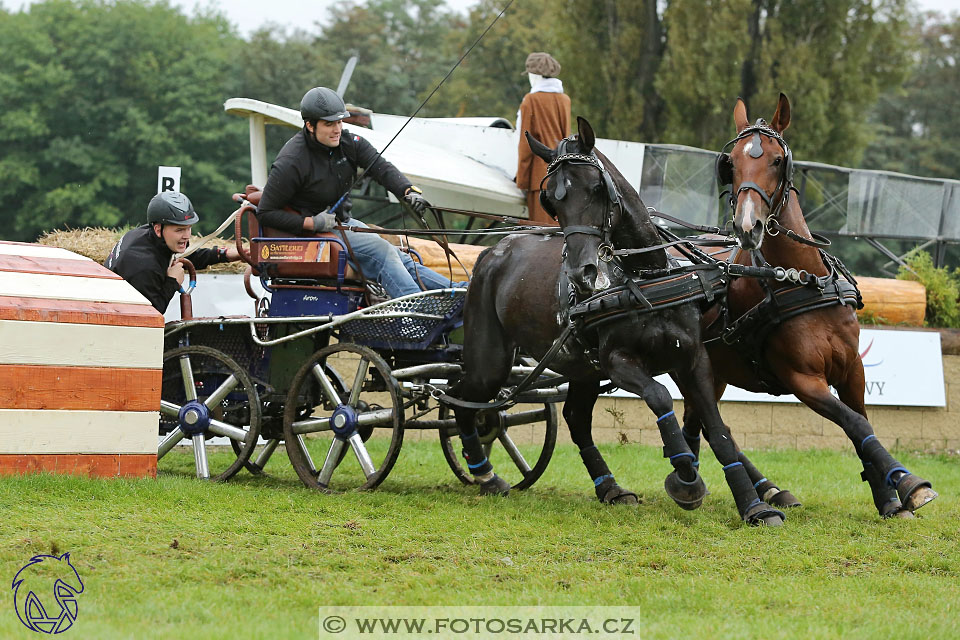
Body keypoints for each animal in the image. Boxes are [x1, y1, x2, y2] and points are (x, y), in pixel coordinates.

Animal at [452, 117, 788, 528]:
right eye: (552, 200)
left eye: (597, 188)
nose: (582, 273)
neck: (645, 276)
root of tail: (492, 250)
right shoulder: (619, 362)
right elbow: (659, 397)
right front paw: (686, 478)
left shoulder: (692, 359)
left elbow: (717, 426)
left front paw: (754, 505)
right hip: (492, 361)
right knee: (461, 397)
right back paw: (484, 473)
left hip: (581, 367)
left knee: (574, 417)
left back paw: (609, 487)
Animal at [684, 92, 936, 516]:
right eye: (730, 162)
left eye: (777, 160)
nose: (747, 226)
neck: (801, 282)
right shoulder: (802, 379)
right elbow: (855, 424)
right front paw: (908, 483)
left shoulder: (852, 370)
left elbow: (861, 423)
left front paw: (887, 496)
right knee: (707, 422)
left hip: (714, 369)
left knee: (701, 421)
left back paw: (767, 490)